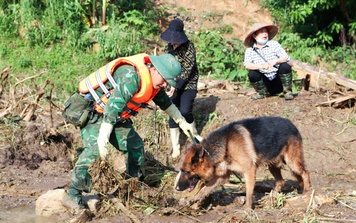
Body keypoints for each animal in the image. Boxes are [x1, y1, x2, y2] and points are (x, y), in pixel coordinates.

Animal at [177, 116, 310, 210]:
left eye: (186, 172)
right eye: (181, 171)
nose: (177, 188)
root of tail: (292, 125)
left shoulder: (249, 170)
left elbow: (249, 193)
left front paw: (247, 209)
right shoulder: (221, 177)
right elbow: (203, 190)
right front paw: (191, 200)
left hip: (292, 162)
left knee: (305, 173)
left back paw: (306, 193)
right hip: (273, 165)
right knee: (281, 181)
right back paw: (270, 197)